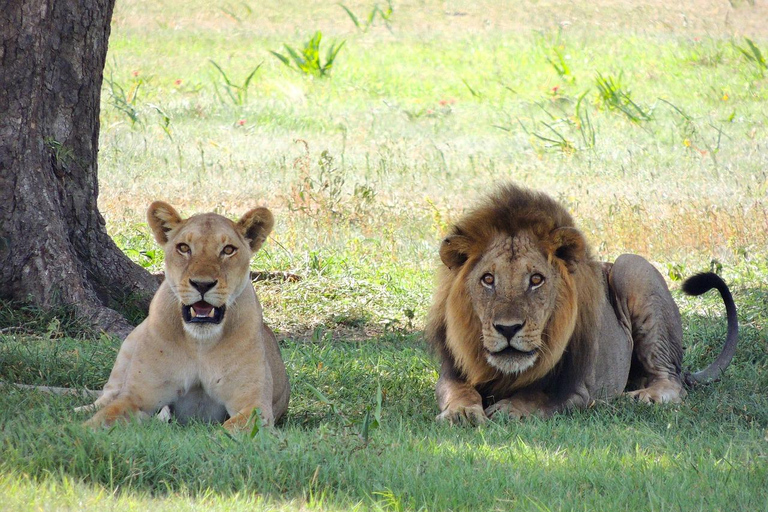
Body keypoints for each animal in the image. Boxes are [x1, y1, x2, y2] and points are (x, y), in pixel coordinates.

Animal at [83, 202, 288, 430]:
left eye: (228, 250)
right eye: (184, 248)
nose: (202, 284)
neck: (200, 343)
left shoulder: (254, 405)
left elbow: (229, 430)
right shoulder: (136, 397)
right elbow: (100, 420)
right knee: (105, 395)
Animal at [426, 184, 736, 424]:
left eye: (536, 279)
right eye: (488, 279)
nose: (508, 329)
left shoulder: (579, 388)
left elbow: (538, 396)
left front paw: (508, 409)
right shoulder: (451, 372)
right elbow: (458, 391)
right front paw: (462, 412)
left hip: (632, 267)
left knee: (672, 381)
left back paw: (641, 397)